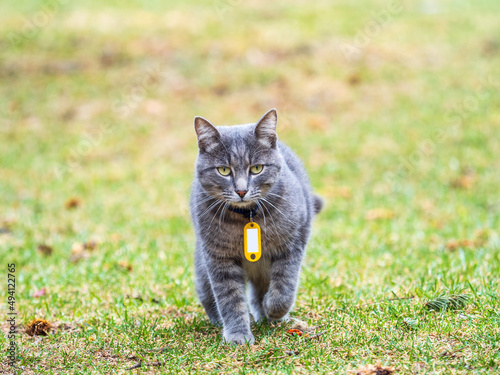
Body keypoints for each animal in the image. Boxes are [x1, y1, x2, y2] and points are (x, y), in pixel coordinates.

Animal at [189, 109, 322, 346]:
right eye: (224, 170)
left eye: (257, 168)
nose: (241, 191)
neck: (247, 218)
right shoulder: (219, 258)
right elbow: (230, 300)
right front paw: (238, 335)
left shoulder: (293, 244)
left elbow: (284, 286)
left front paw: (273, 309)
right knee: (208, 294)